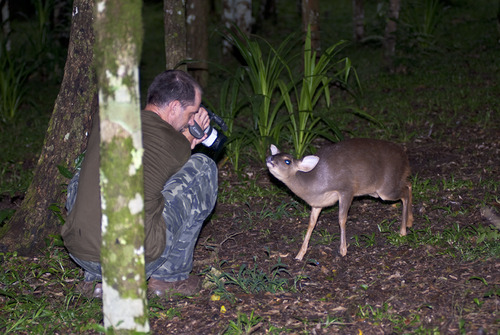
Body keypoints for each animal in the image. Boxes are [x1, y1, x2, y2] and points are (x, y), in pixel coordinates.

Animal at [266, 138, 414, 262]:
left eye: (287, 161)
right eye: (274, 155)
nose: (269, 159)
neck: (313, 184)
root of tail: (405, 157)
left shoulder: (346, 189)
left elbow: (342, 219)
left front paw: (343, 250)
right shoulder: (318, 203)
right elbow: (311, 223)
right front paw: (300, 254)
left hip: (385, 189)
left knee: (405, 192)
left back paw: (402, 231)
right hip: (381, 189)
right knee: (408, 184)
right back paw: (409, 221)